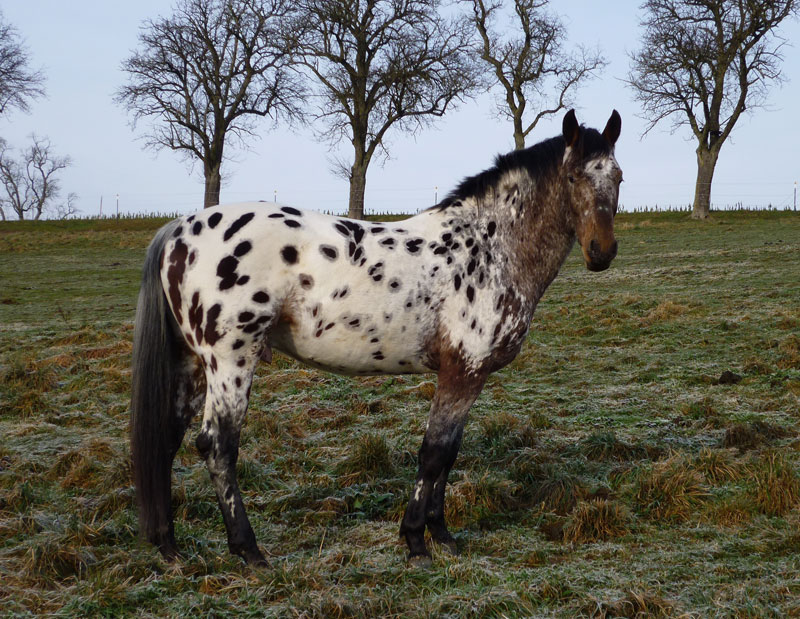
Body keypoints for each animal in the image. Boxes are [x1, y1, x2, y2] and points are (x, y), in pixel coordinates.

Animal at [130, 110, 624, 568]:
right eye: (574, 176)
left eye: (617, 177)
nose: (601, 252)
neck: (487, 249)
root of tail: (179, 229)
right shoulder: (462, 371)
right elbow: (434, 453)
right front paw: (416, 542)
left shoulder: (466, 376)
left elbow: (449, 453)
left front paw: (443, 536)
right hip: (231, 359)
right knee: (218, 445)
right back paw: (249, 552)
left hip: (192, 363)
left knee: (167, 440)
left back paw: (170, 547)